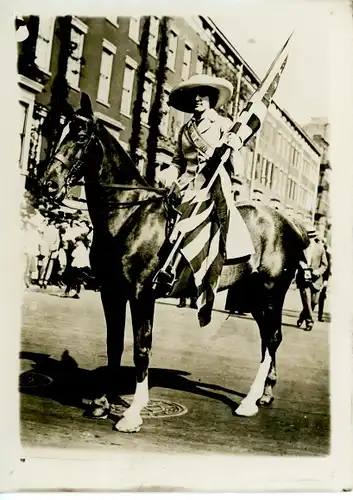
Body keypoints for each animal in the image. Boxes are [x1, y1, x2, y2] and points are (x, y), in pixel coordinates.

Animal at [40, 94, 308, 434]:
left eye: (80, 135)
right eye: (58, 129)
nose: (47, 183)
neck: (130, 216)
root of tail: (290, 223)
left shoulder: (141, 294)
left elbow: (142, 347)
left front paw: (132, 413)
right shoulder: (111, 292)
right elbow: (114, 343)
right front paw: (102, 402)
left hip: (272, 293)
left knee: (272, 338)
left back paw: (249, 402)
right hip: (255, 297)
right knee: (268, 340)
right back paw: (265, 393)